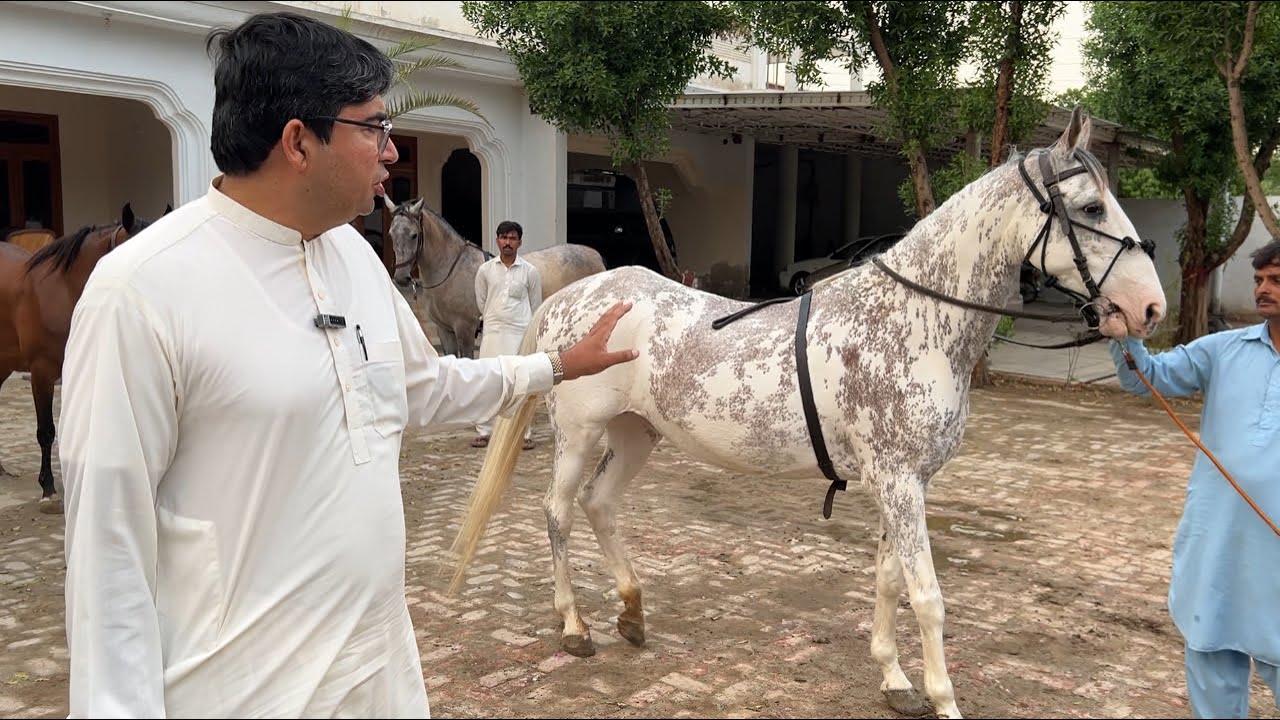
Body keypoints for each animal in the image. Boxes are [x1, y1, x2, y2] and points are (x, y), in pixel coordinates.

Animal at [387, 198, 607, 358]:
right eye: (391, 234)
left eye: (414, 235)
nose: (401, 278)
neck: (450, 270)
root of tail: (596, 256)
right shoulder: (445, 331)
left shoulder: (465, 330)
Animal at [446, 108, 1167, 719]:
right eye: (1092, 206)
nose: (1149, 309)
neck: (912, 322)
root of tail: (580, 293)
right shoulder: (900, 484)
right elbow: (927, 597)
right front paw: (942, 697)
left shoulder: (903, 483)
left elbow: (889, 581)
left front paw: (895, 680)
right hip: (579, 434)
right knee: (559, 513)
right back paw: (575, 625)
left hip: (637, 435)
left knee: (599, 505)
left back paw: (631, 613)